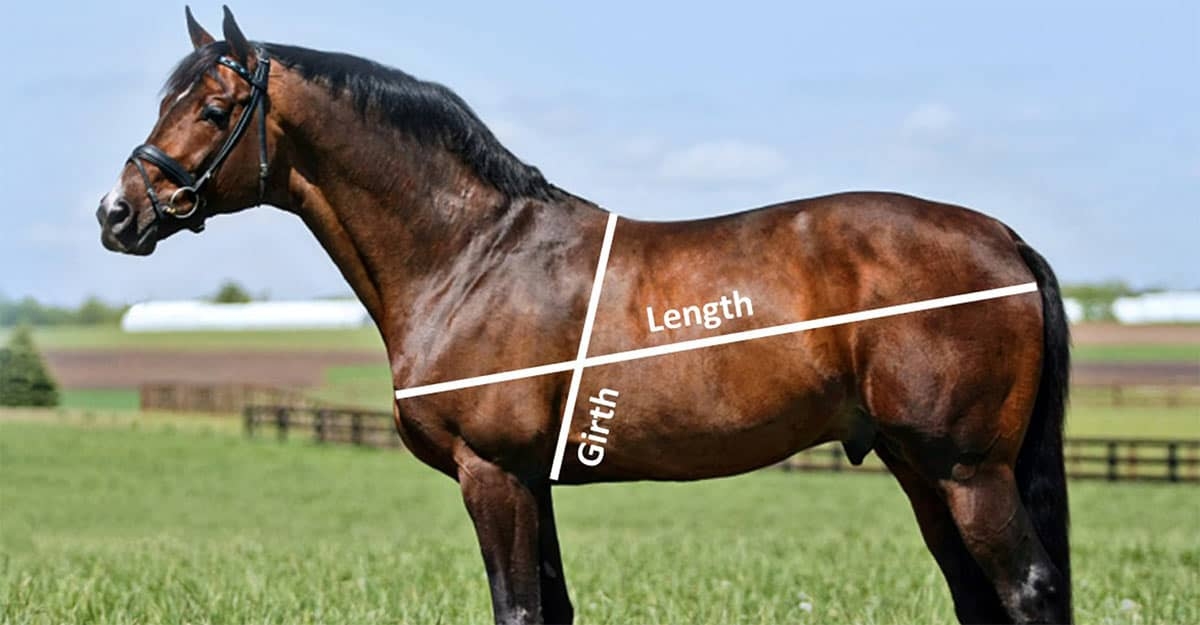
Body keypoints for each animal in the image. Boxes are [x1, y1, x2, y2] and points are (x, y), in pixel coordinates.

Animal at [96, 7, 1072, 624]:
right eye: (166, 103)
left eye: (215, 108)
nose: (118, 214)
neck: (469, 254)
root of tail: (1003, 238)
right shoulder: (533, 478)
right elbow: (553, 606)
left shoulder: (493, 473)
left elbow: (520, 608)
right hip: (921, 468)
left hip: (966, 470)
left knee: (1027, 590)